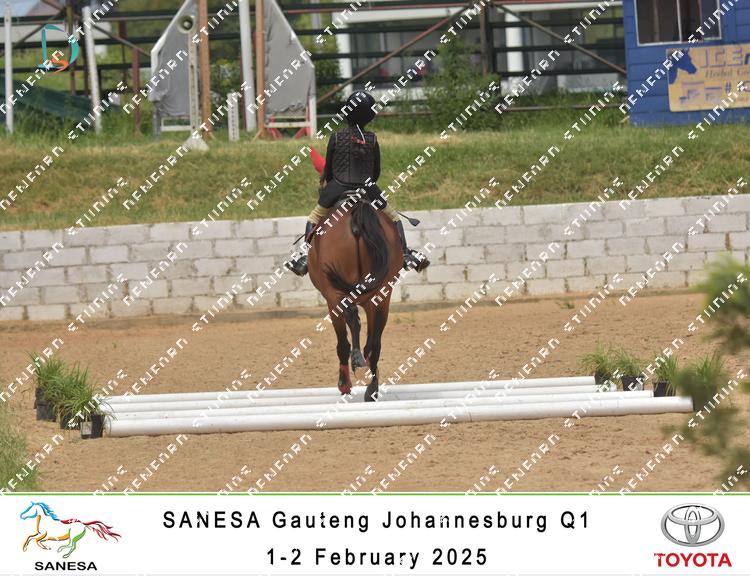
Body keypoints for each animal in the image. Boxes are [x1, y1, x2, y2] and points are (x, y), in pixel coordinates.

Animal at [307, 191, 403, 402]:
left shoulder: (331, 300)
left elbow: (343, 341)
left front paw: (344, 384)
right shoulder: (372, 301)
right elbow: (371, 340)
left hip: (336, 293)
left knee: (352, 320)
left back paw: (354, 365)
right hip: (382, 295)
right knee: (375, 343)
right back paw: (371, 388)